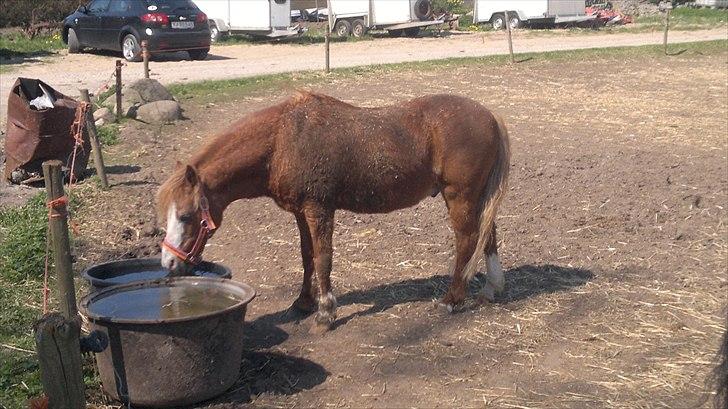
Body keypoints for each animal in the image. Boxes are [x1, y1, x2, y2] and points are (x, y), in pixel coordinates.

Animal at [158, 91, 512, 332]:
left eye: (186, 216)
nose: (169, 264)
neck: (282, 142)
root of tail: (490, 116)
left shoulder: (319, 209)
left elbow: (323, 257)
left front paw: (326, 312)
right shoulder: (300, 213)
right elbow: (307, 257)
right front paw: (303, 302)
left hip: (460, 196)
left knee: (467, 240)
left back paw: (453, 299)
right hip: (477, 197)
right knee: (488, 235)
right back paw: (491, 288)